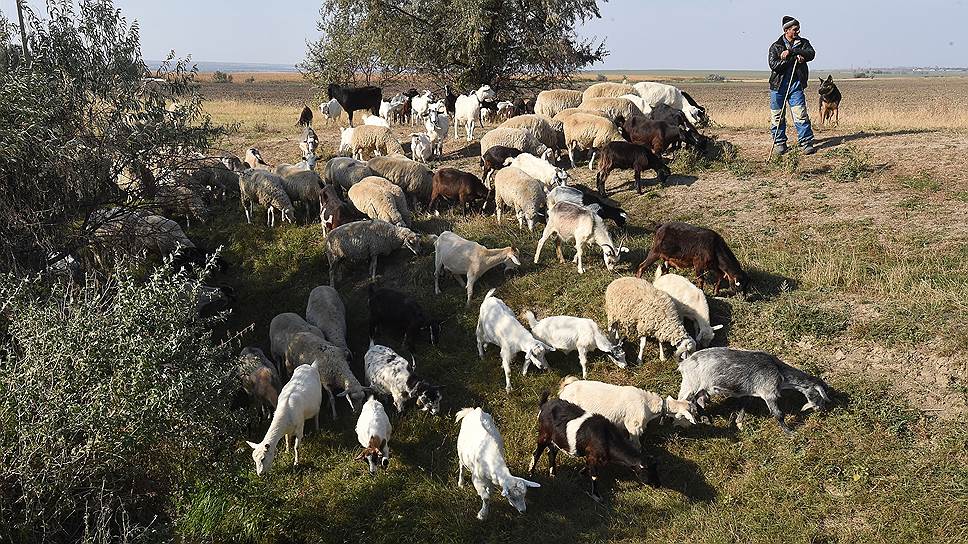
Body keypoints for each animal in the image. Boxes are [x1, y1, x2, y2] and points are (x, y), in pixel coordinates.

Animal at [528, 392, 656, 502]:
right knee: (537, 453)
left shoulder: (591, 455)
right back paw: (531, 473)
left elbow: (588, 466)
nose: (658, 484)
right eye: (649, 471)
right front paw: (596, 495)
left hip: (556, 440)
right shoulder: (593, 455)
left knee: (551, 453)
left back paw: (553, 475)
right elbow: (595, 476)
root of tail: (544, 405)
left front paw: (581, 473)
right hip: (544, 435)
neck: (607, 436)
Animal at [680, 348, 832, 434]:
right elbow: (778, 414)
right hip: (690, 385)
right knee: (683, 401)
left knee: (698, 401)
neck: (779, 371)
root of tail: (684, 364)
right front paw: (790, 432)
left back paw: (705, 419)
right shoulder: (769, 392)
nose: (823, 410)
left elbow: (744, 406)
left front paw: (739, 423)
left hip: (700, 389)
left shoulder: (752, 392)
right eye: (821, 396)